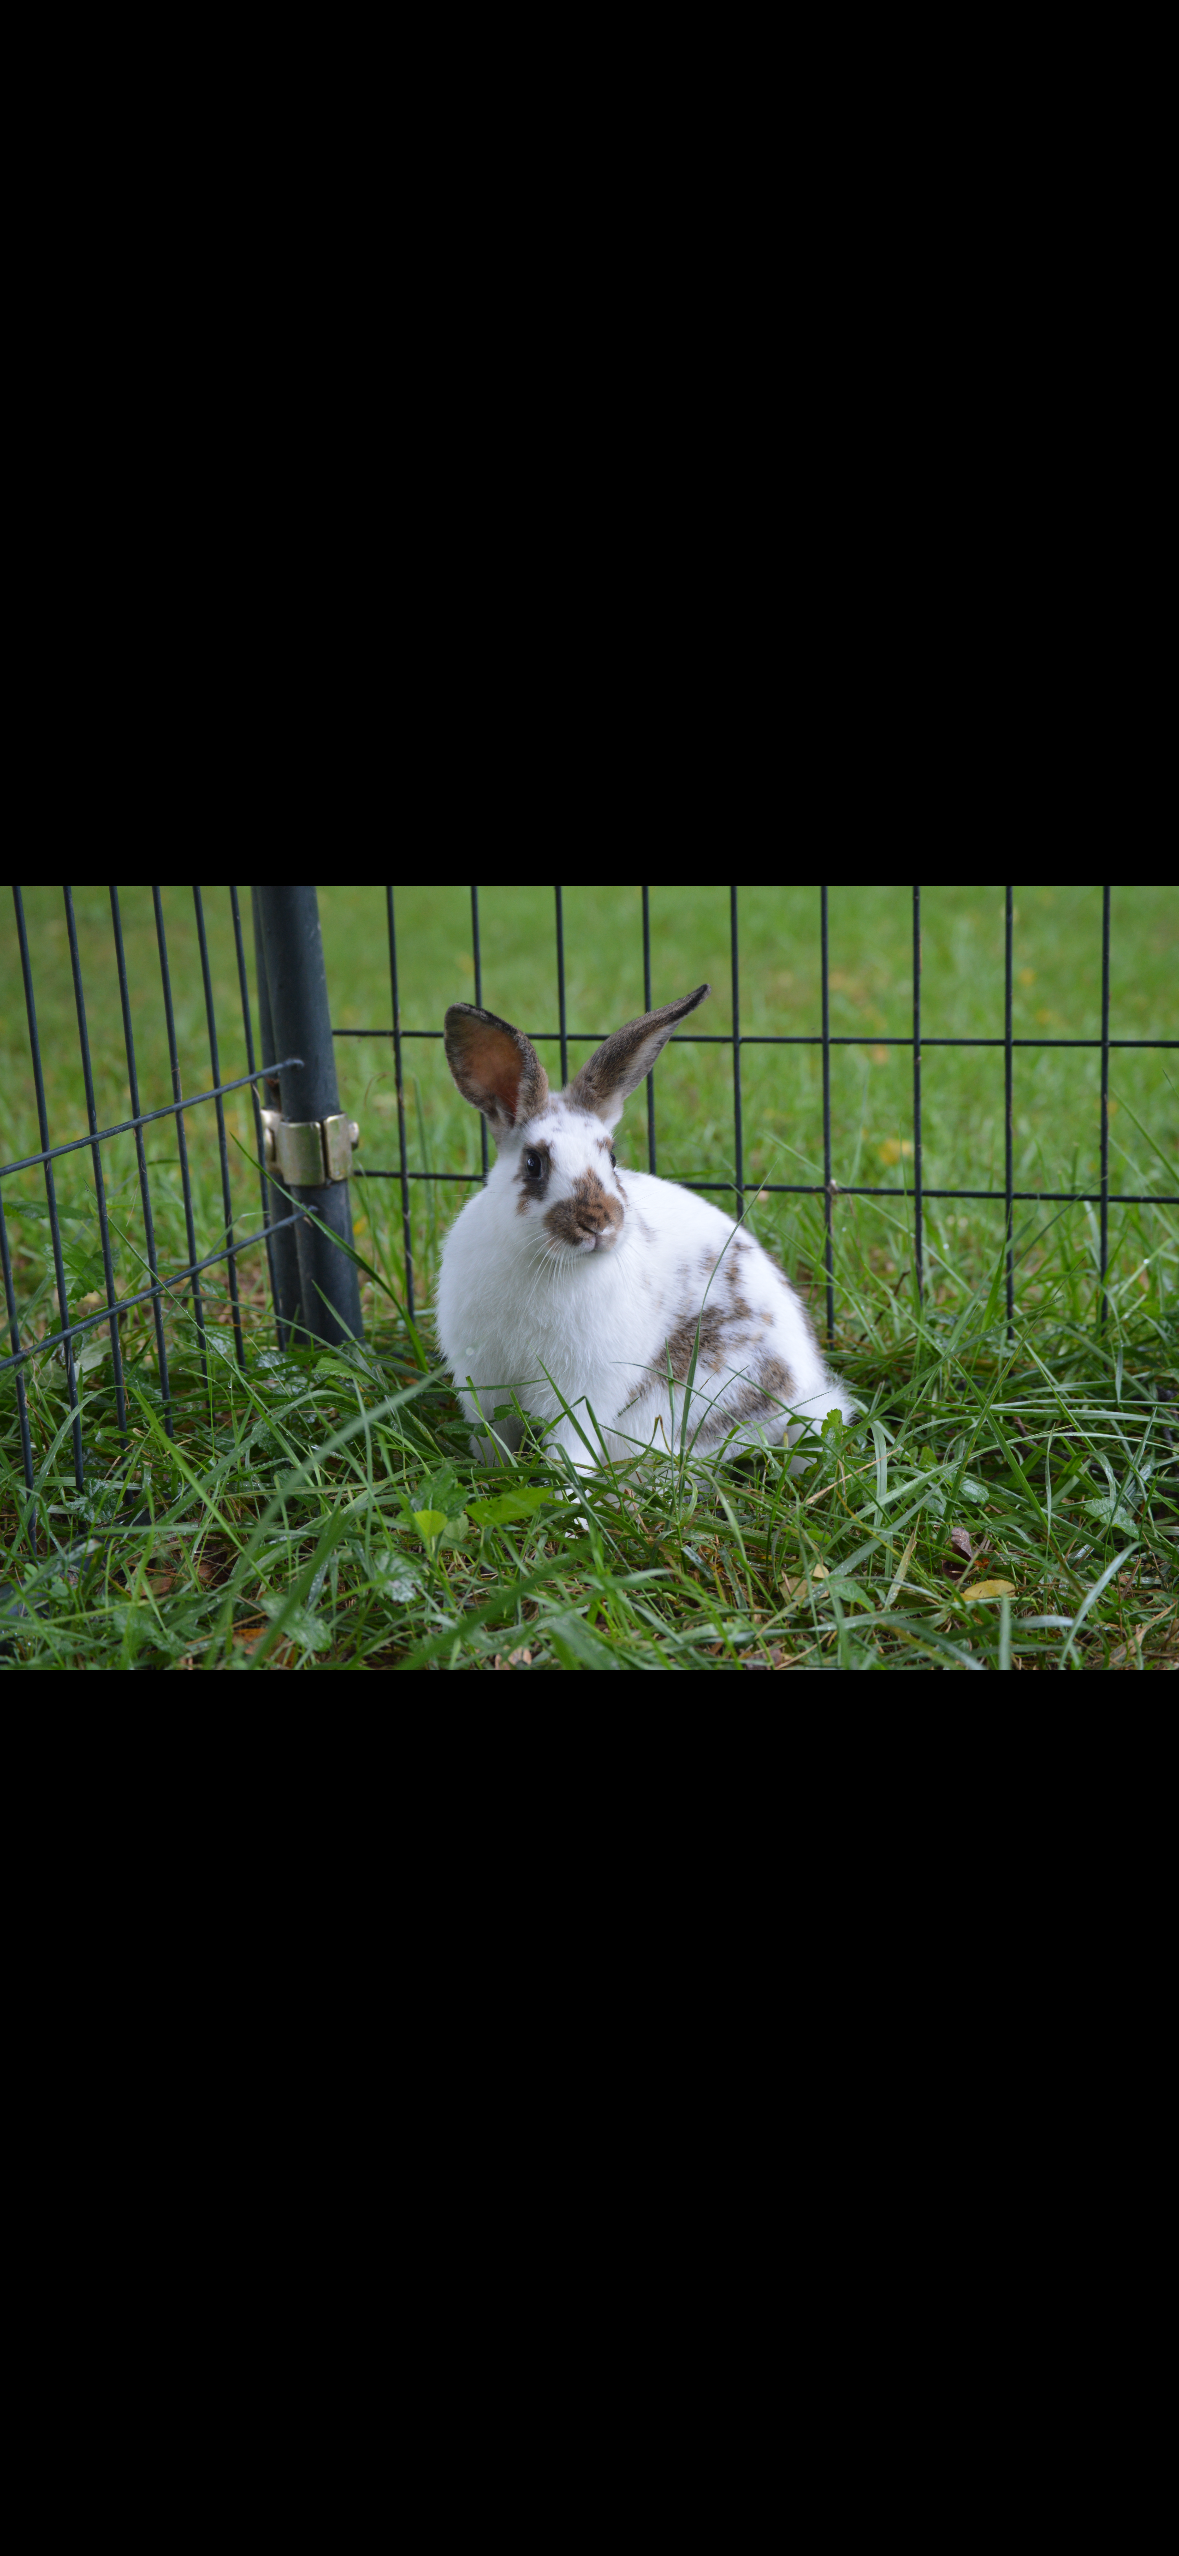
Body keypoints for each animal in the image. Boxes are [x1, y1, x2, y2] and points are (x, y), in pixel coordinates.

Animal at [436, 984, 856, 1475]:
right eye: (534, 1163)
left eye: (612, 1159)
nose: (598, 1222)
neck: (546, 1263)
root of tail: (794, 1406)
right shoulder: (482, 1382)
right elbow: (491, 1438)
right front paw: (492, 1473)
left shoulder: (583, 1391)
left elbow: (570, 1449)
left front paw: (569, 1493)